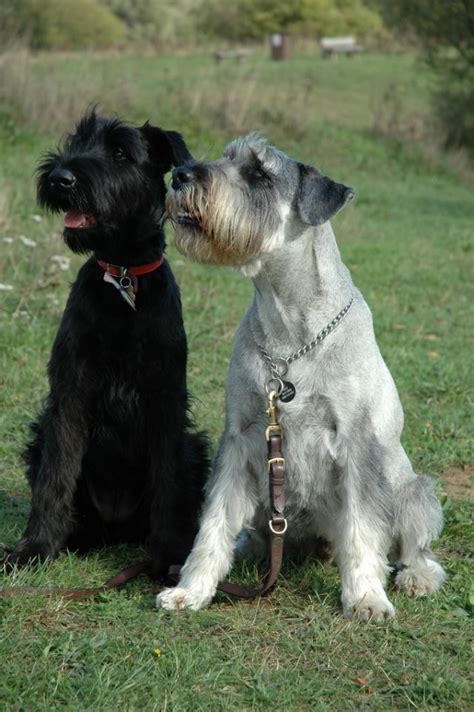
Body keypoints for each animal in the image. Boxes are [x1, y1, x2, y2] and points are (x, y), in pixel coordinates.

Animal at [6, 111, 208, 580]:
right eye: (78, 140)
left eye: (119, 152)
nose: (60, 179)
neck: (123, 276)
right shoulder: (69, 391)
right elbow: (55, 475)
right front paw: (34, 548)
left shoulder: (165, 399)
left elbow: (169, 479)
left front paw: (170, 556)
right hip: (39, 435)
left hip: (198, 445)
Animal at [156, 135, 444, 624]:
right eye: (226, 156)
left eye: (259, 173)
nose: (179, 175)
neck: (289, 330)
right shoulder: (241, 438)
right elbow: (214, 522)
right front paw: (191, 590)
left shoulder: (356, 444)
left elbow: (363, 530)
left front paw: (366, 598)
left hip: (414, 491)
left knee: (411, 547)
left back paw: (416, 576)